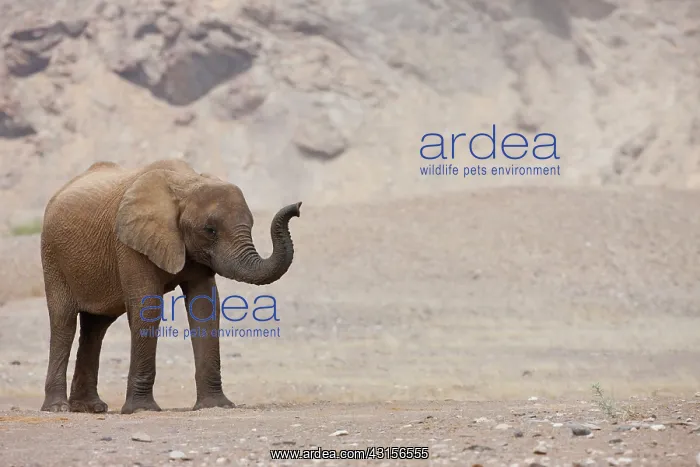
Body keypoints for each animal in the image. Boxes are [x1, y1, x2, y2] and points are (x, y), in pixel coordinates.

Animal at [39, 159, 302, 414]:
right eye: (210, 230)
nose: (298, 207)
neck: (186, 184)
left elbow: (205, 308)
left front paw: (215, 405)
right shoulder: (129, 243)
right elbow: (148, 307)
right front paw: (141, 410)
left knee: (96, 328)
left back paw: (90, 408)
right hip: (52, 256)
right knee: (64, 322)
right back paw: (57, 408)